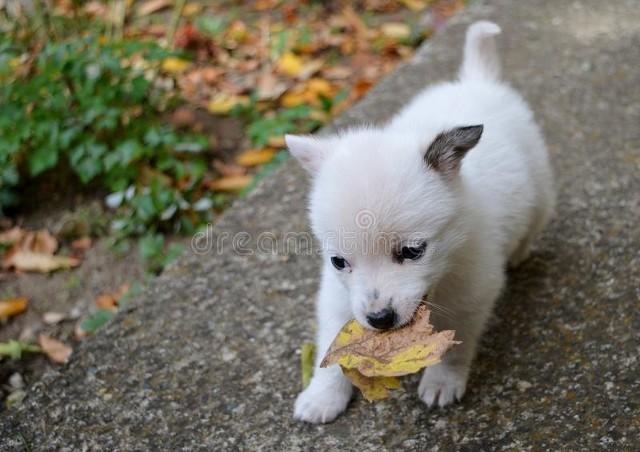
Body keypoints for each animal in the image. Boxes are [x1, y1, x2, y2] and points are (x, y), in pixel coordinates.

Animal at [288, 21, 552, 424]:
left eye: (413, 251)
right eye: (338, 261)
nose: (379, 318)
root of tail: (476, 80)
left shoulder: (470, 294)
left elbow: (455, 346)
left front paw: (442, 381)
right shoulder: (337, 294)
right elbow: (331, 344)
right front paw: (322, 395)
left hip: (540, 190)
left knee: (535, 220)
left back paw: (520, 252)